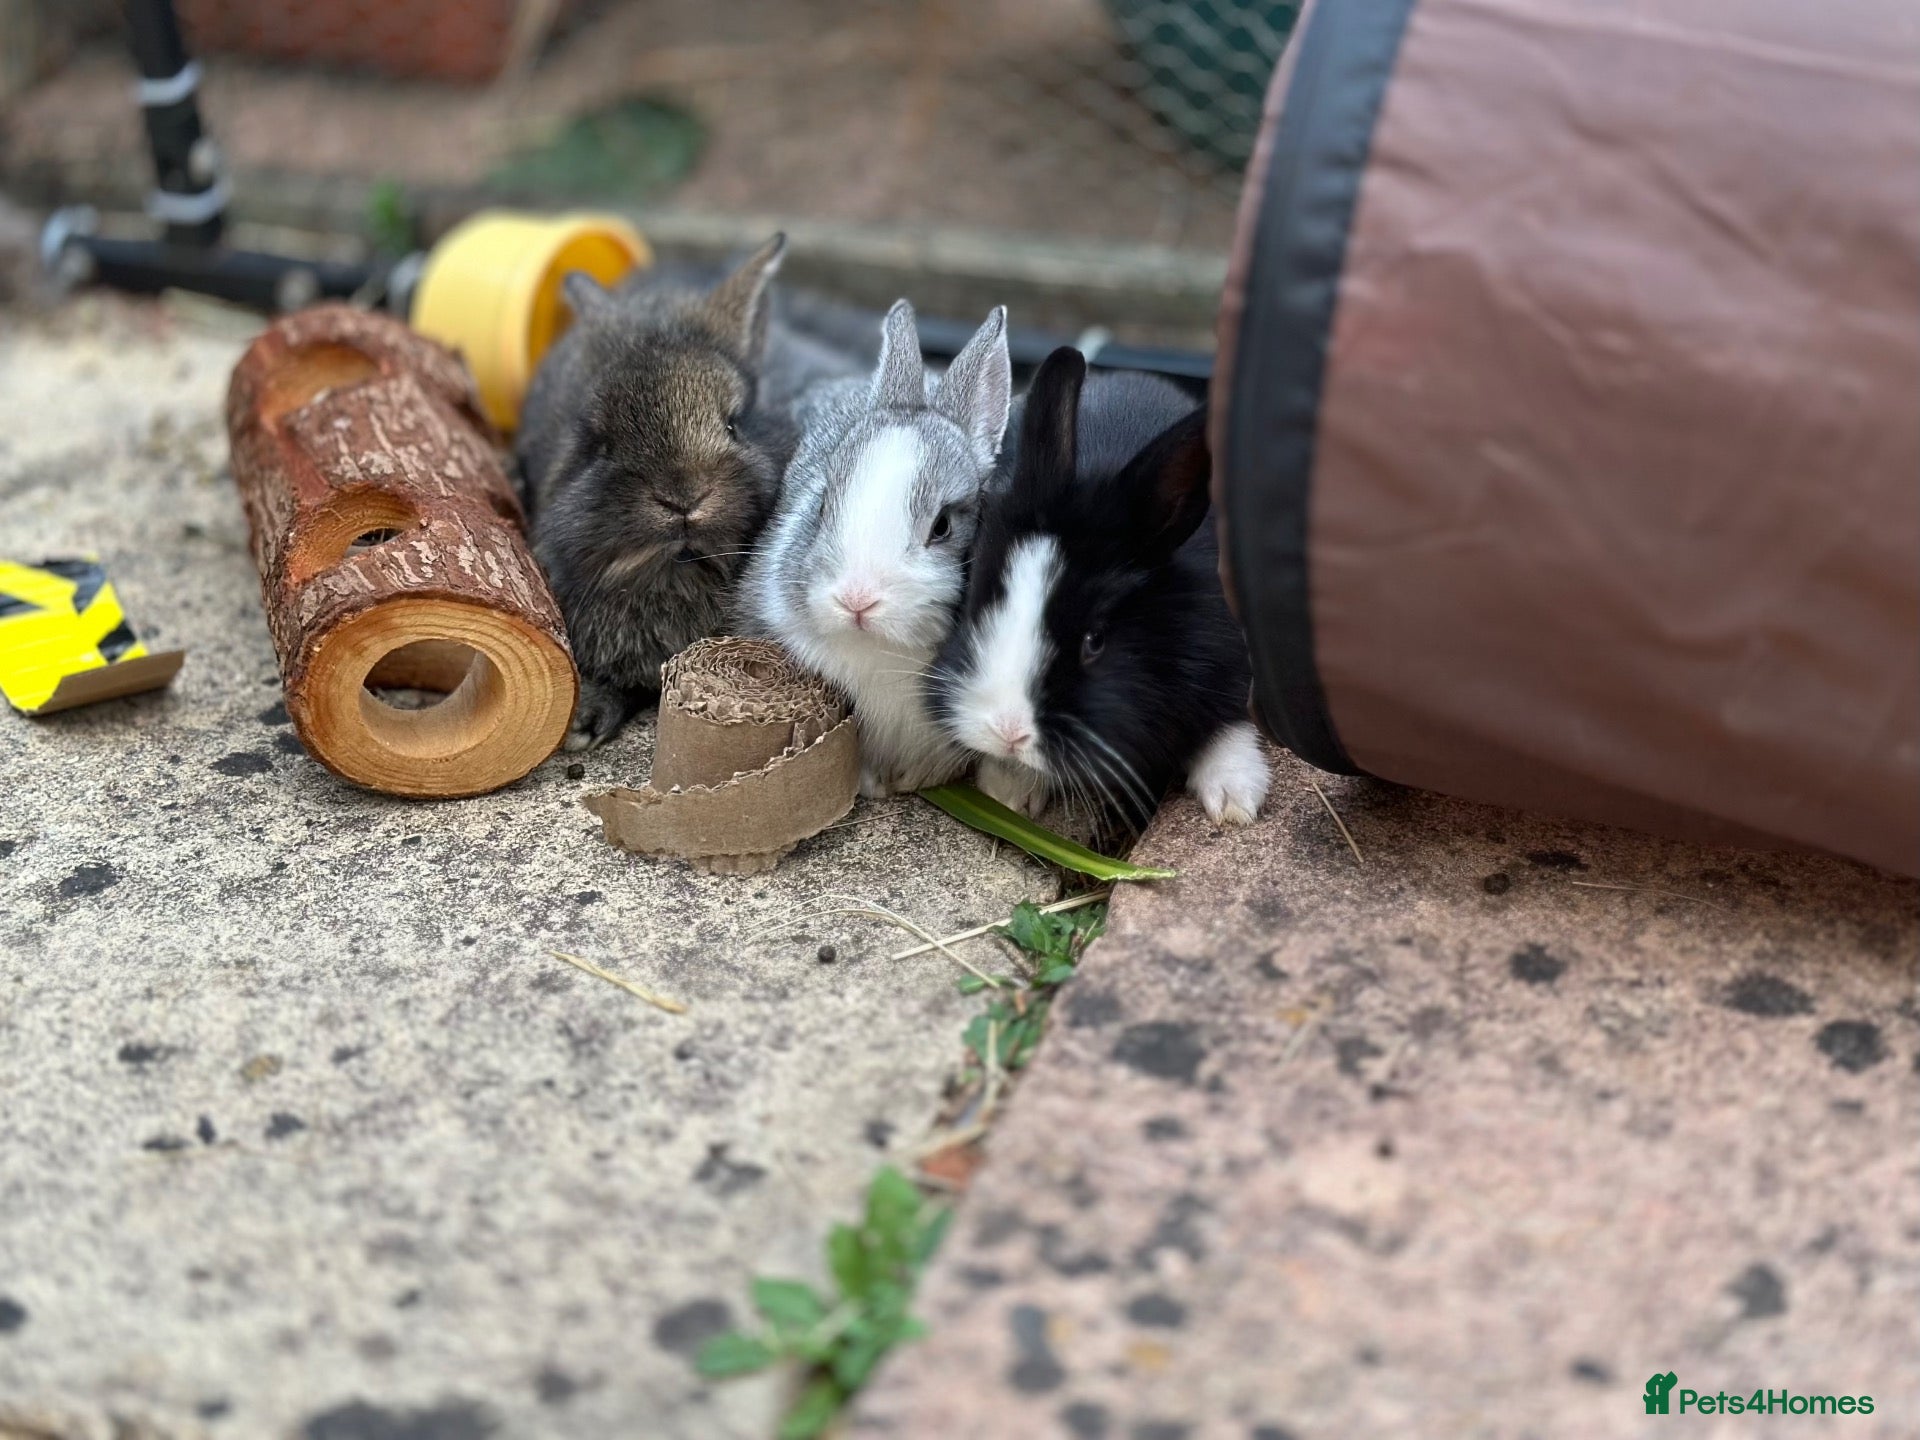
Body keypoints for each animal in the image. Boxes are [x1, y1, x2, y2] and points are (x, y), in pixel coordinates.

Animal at [930, 345, 1270, 832]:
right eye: (977, 603)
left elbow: (1228, 721)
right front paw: (1009, 790)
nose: (1007, 731)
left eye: (1095, 641)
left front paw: (1234, 798)